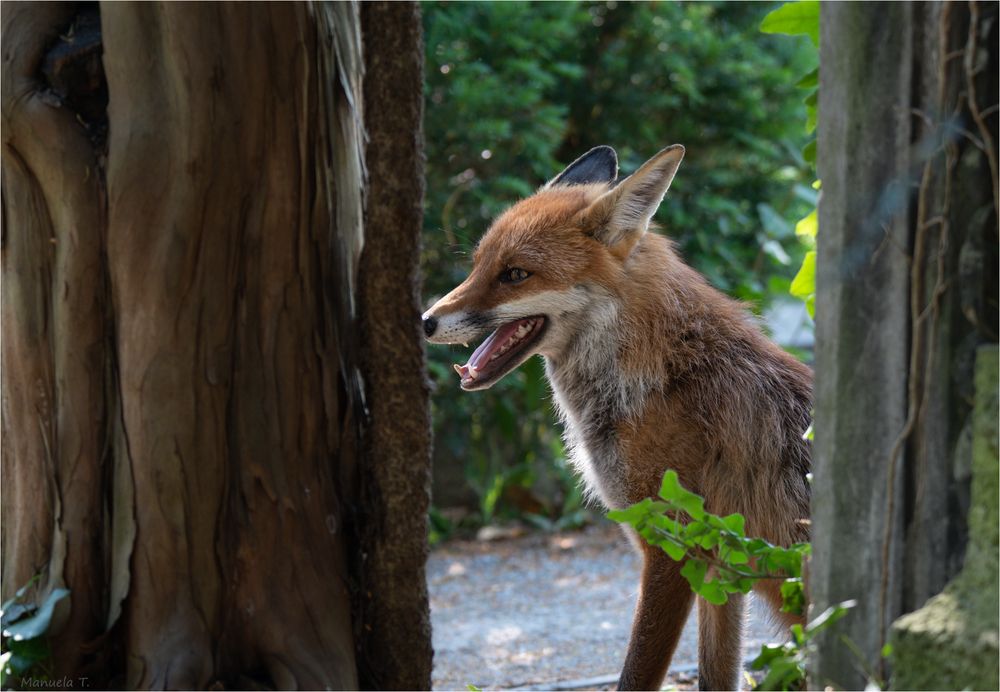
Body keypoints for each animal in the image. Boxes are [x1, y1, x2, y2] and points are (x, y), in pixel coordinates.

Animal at [422, 143, 812, 688]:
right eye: (477, 266)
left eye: (515, 274)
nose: (425, 321)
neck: (659, 373)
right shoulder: (721, 571)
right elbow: (716, 675)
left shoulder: (674, 548)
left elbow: (636, 674)